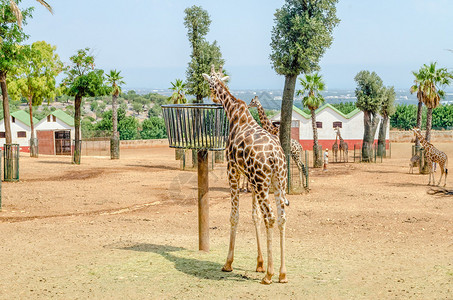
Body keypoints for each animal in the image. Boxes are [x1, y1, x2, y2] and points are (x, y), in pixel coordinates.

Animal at [203, 65, 288, 284]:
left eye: (210, 84)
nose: (212, 96)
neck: (234, 113)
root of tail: (276, 157)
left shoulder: (232, 170)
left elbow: (235, 216)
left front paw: (228, 263)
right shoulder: (250, 179)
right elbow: (254, 215)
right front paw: (259, 263)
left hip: (262, 182)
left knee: (271, 217)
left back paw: (269, 275)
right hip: (277, 183)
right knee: (281, 217)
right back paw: (282, 273)